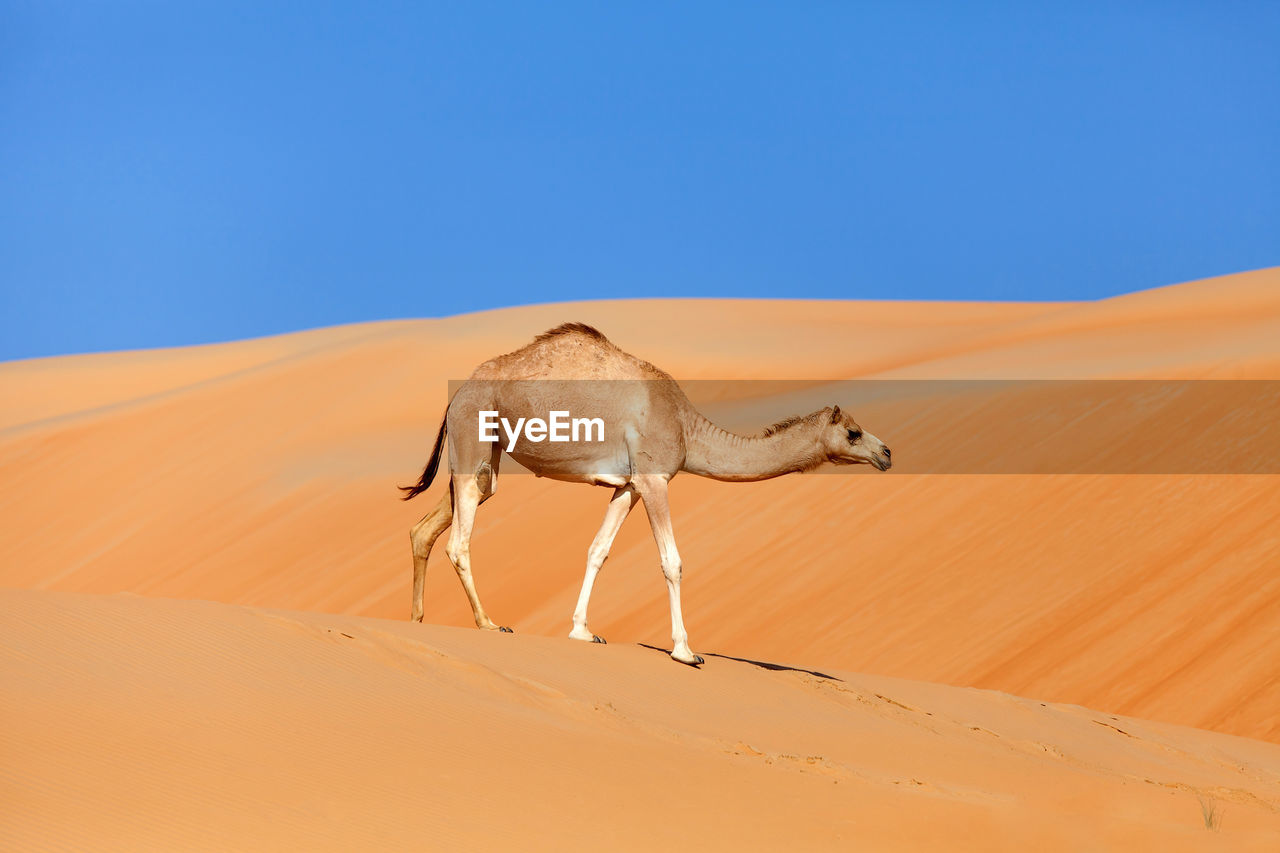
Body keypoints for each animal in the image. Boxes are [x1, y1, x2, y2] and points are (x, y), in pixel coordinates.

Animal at [399, 322, 890, 660]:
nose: (886, 452)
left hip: (484, 457)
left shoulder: (628, 486)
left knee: (430, 525)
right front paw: (685, 651)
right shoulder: (655, 479)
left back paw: (417, 620)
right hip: (473, 431)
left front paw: (582, 631)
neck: (688, 429)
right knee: (460, 541)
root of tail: (457, 395)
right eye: (852, 432)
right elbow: (672, 562)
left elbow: (598, 550)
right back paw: (488, 624)